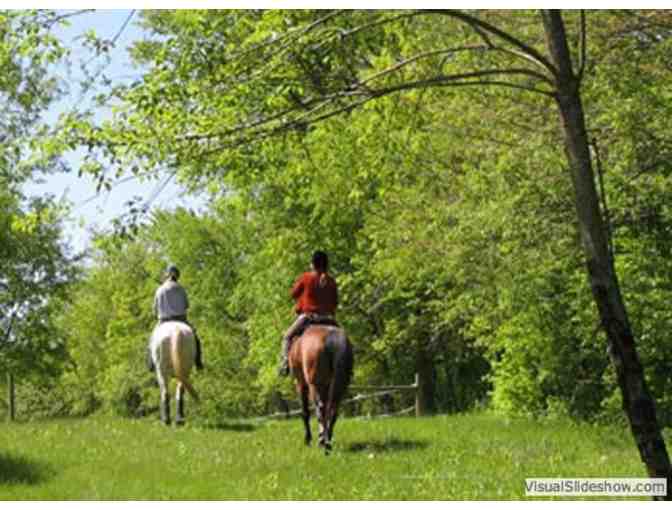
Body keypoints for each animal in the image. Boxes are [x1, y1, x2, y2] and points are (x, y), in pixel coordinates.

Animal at [288, 324, 352, 452]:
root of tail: (332, 338)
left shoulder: (300, 383)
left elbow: (305, 412)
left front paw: (308, 439)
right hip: (339, 386)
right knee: (332, 410)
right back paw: (327, 441)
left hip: (314, 386)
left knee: (320, 409)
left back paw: (322, 442)